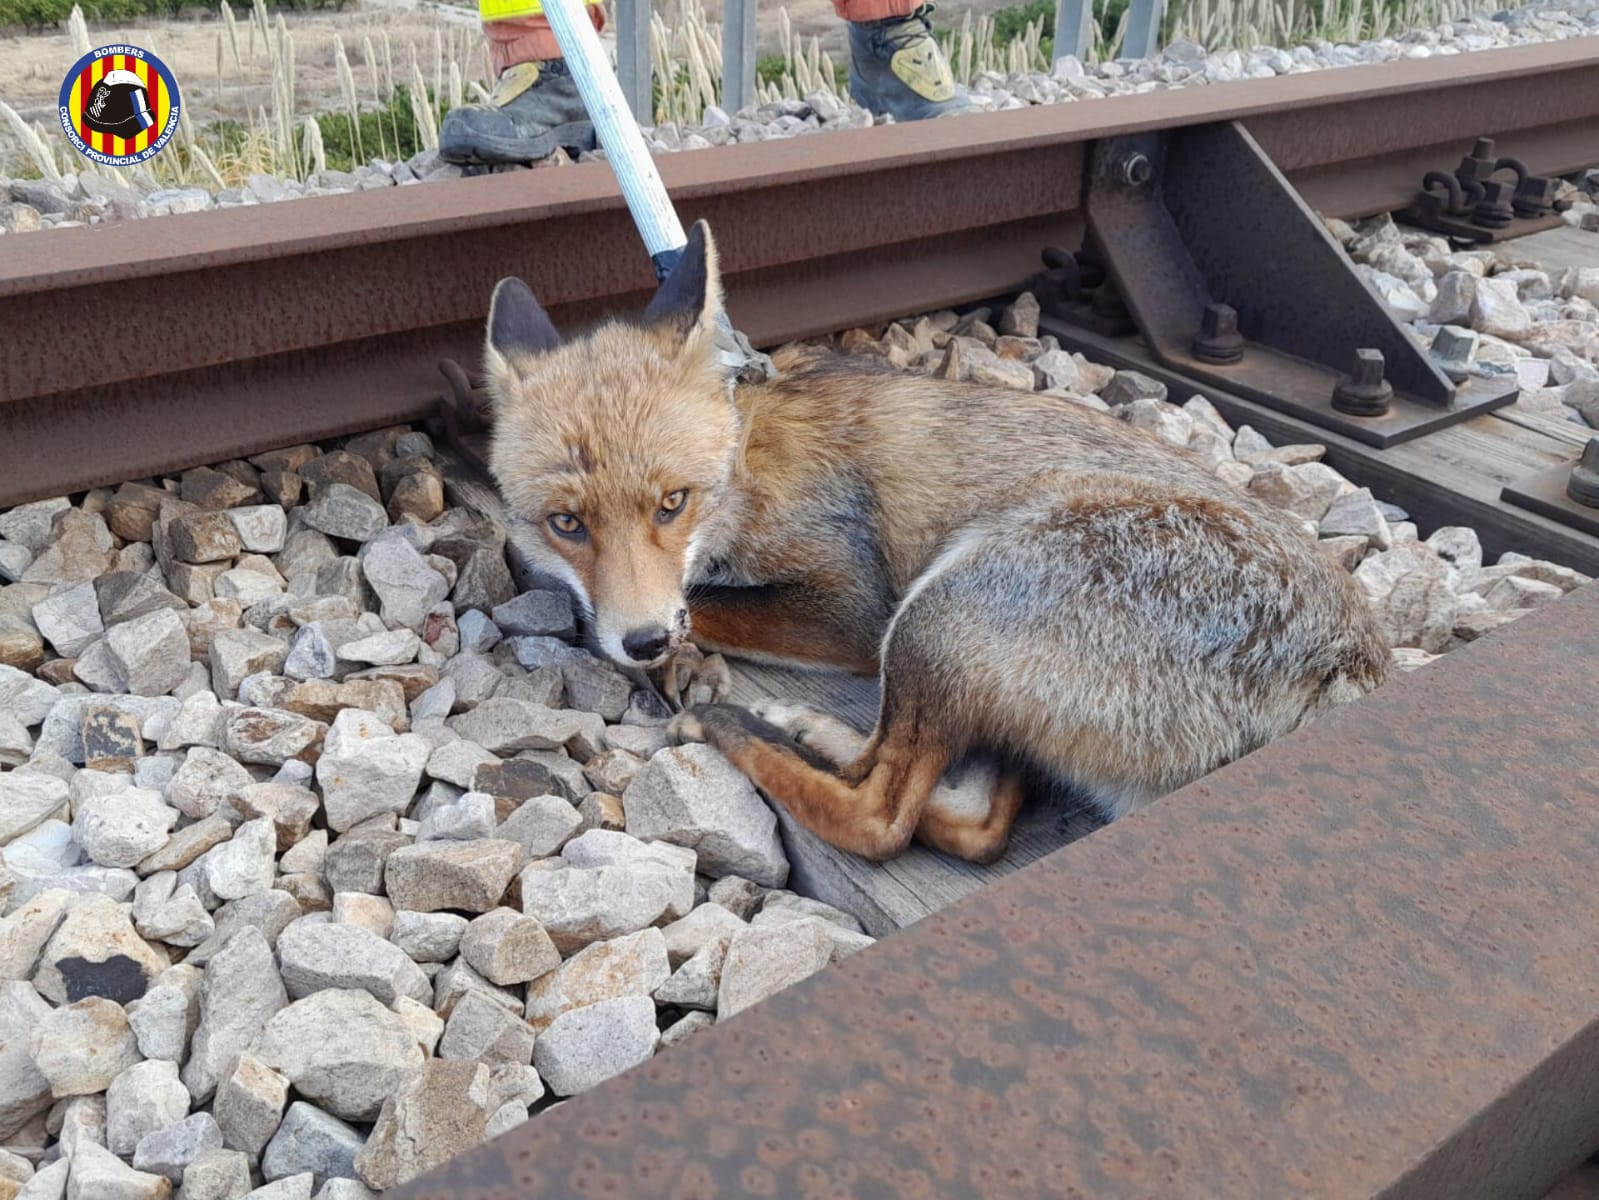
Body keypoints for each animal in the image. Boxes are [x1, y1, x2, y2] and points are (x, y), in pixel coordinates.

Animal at [481, 219, 1392, 865]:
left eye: (672, 503)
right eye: (567, 523)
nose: (642, 642)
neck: (748, 466)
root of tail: (1351, 660)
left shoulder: (854, 606)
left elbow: (702, 603)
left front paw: (684, 656)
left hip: (936, 611)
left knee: (881, 815)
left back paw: (738, 728)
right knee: (968, 816)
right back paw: (807, 730)